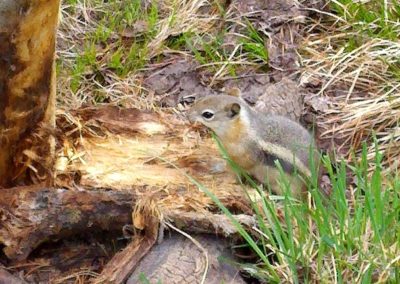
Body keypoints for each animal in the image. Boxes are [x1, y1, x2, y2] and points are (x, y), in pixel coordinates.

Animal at [188, 93, 318, 197]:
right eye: (204, 98)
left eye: (207, 114)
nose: (187, 114)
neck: (241, 129)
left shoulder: (243, 156)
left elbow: (233, 166)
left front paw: (217, 166)